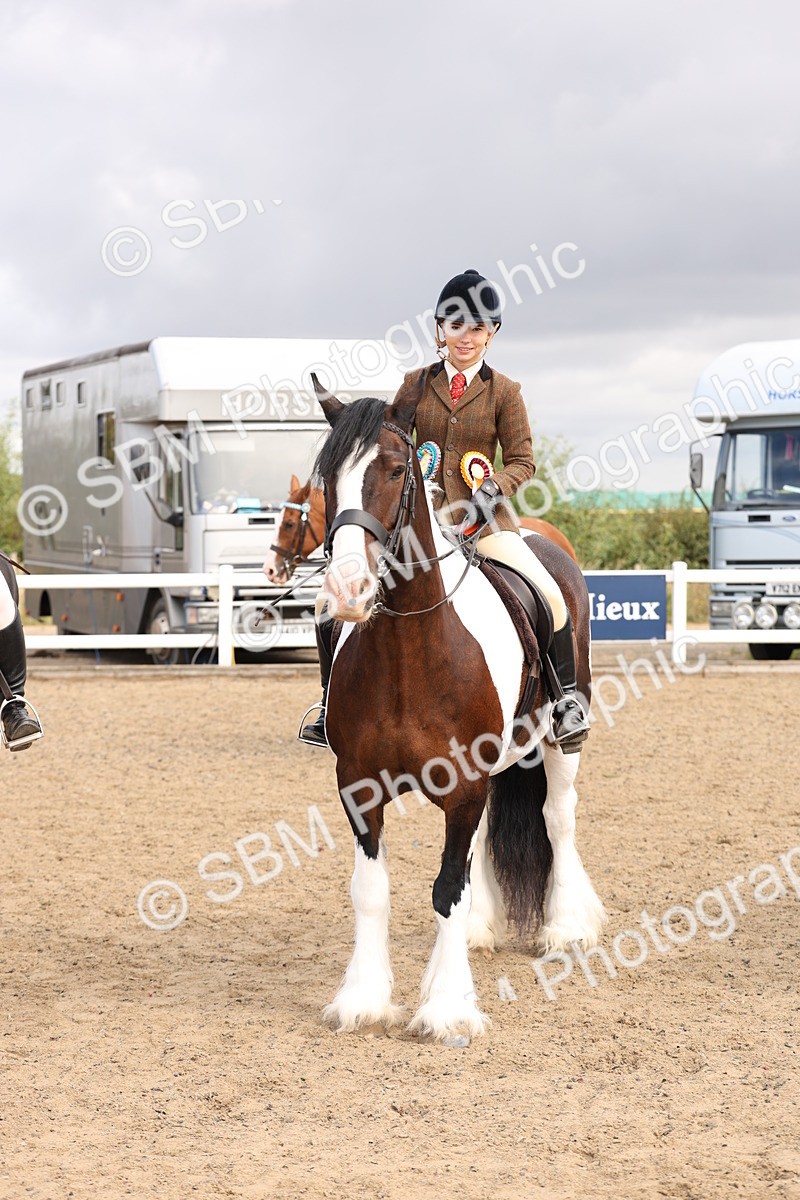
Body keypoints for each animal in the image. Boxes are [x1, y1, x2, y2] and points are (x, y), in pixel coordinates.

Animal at [300, 372, 605, 1042]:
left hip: (559, 741)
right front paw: (363, 999)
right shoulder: (358, 784)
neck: (409, 655)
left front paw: (446, 1008)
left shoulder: (463, 786)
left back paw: (565, 926)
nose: (345, 591)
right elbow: (372, 890)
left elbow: (445, 888)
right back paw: (479, 931)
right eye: (326, 477)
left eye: (394, 470)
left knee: (558, 819)